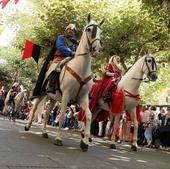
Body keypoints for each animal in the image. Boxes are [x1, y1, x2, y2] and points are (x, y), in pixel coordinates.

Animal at [23, 14, 103, 151]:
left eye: (100, 31)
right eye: (88, 29)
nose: (96, 48)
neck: (80, 68)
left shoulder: (83, 97)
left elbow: (88, 115)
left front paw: (85, 142)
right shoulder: (66, 95)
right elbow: (60, 116)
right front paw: (58, 139)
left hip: (53, 98)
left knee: (47, 112)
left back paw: (44, 132)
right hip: (42, 93)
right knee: (34, 108)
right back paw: (28, 126)